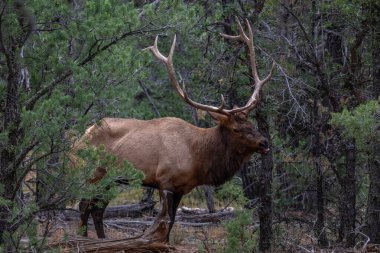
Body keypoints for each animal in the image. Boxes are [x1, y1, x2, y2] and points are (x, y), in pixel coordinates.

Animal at [76, 17, 274, 241]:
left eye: (251, 124)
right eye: (235, 129)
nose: (264, 142)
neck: (198, 157)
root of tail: (82, 135)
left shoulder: (182, 189)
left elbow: (170, 224)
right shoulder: (165, 182)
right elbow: (165, 222)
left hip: (112, 179)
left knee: (97, 209)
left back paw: (102, 240)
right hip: (94, 172)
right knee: (84, 205)